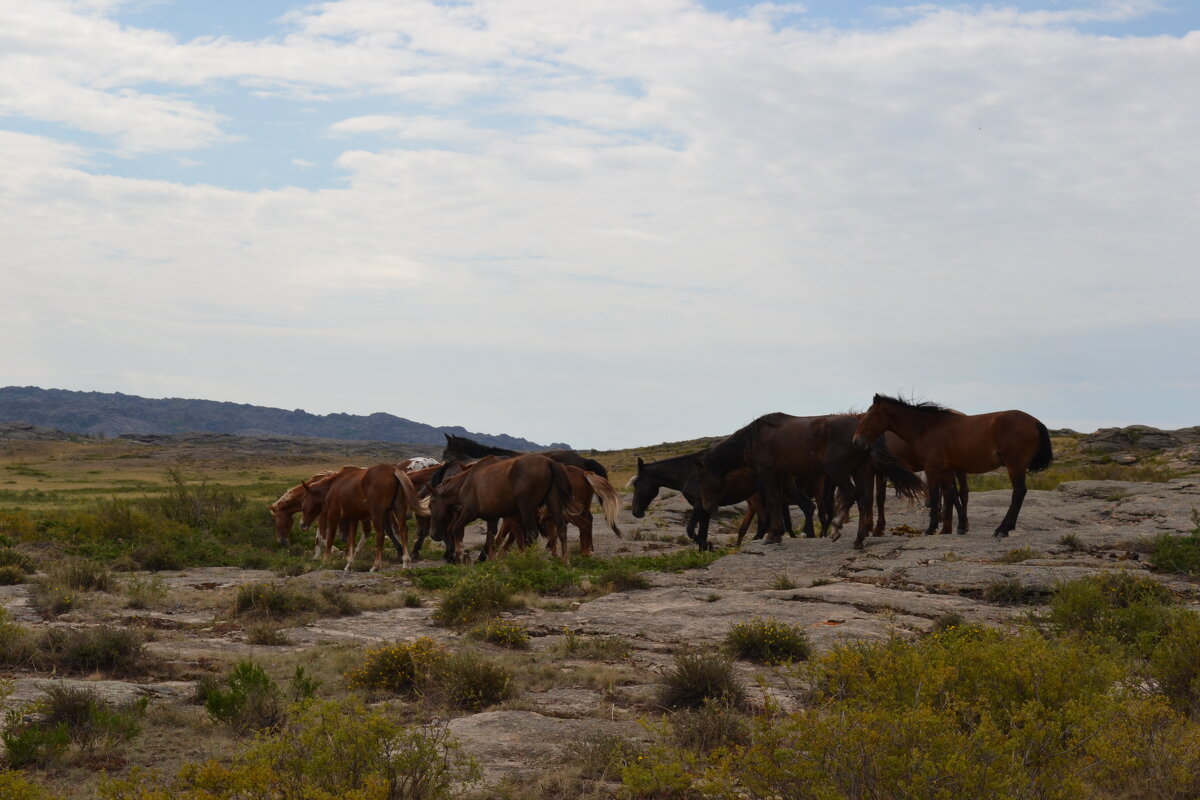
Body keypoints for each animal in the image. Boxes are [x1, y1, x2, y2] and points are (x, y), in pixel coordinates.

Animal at [300, 465, 432, 573]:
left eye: (303, 500)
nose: (302, 524)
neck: (334, 486)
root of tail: (393, 471)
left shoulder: (333, 516)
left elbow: (330, 540)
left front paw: (325, 562)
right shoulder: (353, 519)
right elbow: (351, 541)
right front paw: (349, 564)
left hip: (377, 514)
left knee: (380, 534)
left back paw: (376, 565)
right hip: (398, 509)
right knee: (403, 530)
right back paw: (406, 562)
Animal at [700, 412, 921, 551]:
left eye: (705, 480)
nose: (707, 507)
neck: (756, 437)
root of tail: (863, 432)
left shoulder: (768, 473)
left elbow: (772, 501)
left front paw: (772, 535)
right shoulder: (781, 476)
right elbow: (778, 502)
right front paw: (778, 534)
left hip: (837, 472)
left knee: (852, 495)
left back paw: (837, 528)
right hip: (860, 472)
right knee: (863, 500)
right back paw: (858, 539)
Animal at [854, 393, 1051, 537]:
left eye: (871, 415)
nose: (857, 441)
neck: (928, 428)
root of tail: (1035, 421)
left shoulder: (932, 468)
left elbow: (936, 496)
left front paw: (931, 527)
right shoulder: (946, 469)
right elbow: (952, 494)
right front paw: (961, 525)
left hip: (1015, 466)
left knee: (1018, 493)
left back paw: (1003, 529)